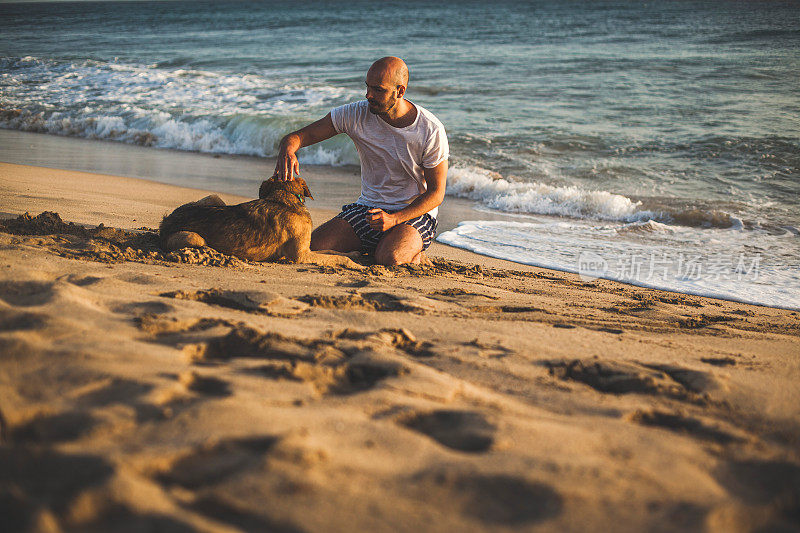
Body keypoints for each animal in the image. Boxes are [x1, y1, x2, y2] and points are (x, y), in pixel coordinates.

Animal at [159, 177, 362, 268]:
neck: (284, 198)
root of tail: (166, 221)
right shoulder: (301, 255)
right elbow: (336, 257)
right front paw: (355, 264)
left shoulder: (309, 250)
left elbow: (332, 251)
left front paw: (354, 254)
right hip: (194, 238)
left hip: (214, 198)